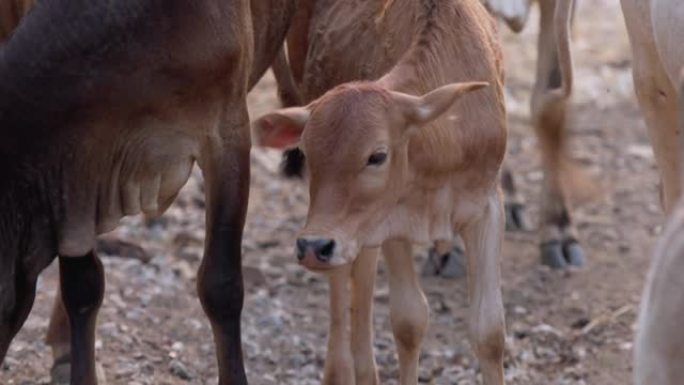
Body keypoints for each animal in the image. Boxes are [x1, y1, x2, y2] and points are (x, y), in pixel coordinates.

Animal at [256, 1, 512, 382]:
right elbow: (409, 321)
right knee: (344, 279)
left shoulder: (486, 206)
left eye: (377, 155)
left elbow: (489, 329)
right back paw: (342, 370)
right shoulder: (389, 221)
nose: (312, 245)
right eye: (308, 152)